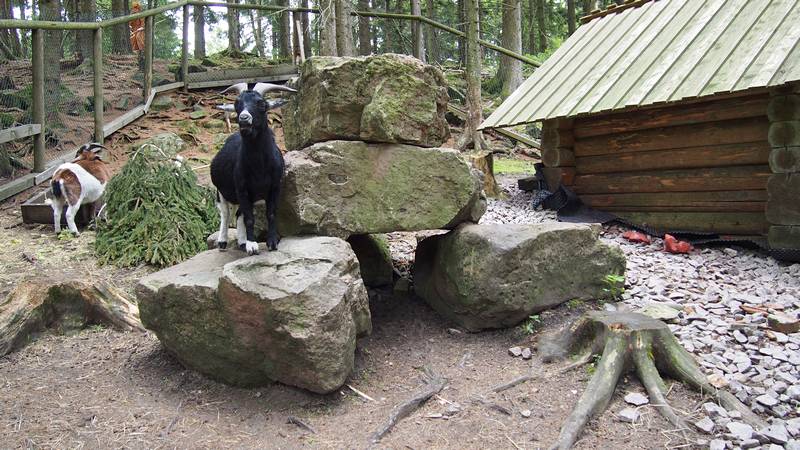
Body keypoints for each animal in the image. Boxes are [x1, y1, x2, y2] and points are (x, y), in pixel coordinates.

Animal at [212, 81, 296, 255]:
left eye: (261, 104)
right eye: (237, 104)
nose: (244, 118)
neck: (259, 167)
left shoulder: (274, 187)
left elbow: (270, 214)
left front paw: (272, 243)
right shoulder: (242, 189)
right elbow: (249, 218)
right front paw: (252, 246)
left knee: (238, 214)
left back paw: (242, 242)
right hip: (220, 191)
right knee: (225, 212)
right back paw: (223, 242)